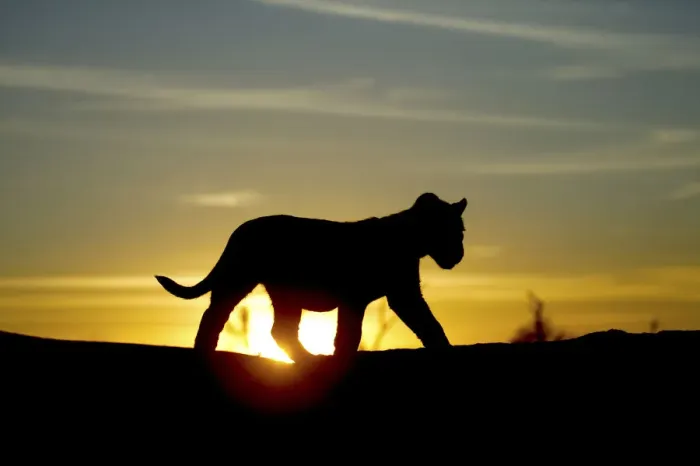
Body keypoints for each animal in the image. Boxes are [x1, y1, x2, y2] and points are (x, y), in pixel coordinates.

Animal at [155, 192, 467, 361]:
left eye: (460, 231)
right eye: (451, 230)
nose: (459, 254)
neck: (410, 241)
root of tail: (240, 228)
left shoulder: (404, 294)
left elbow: (428, 322)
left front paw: (443, 348)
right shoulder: (357, 297)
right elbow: (349, 334)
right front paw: (341, 358)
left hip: (282, 294)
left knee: (279, 330)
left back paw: (305, 357)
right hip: (240, 279)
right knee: (216, 314)